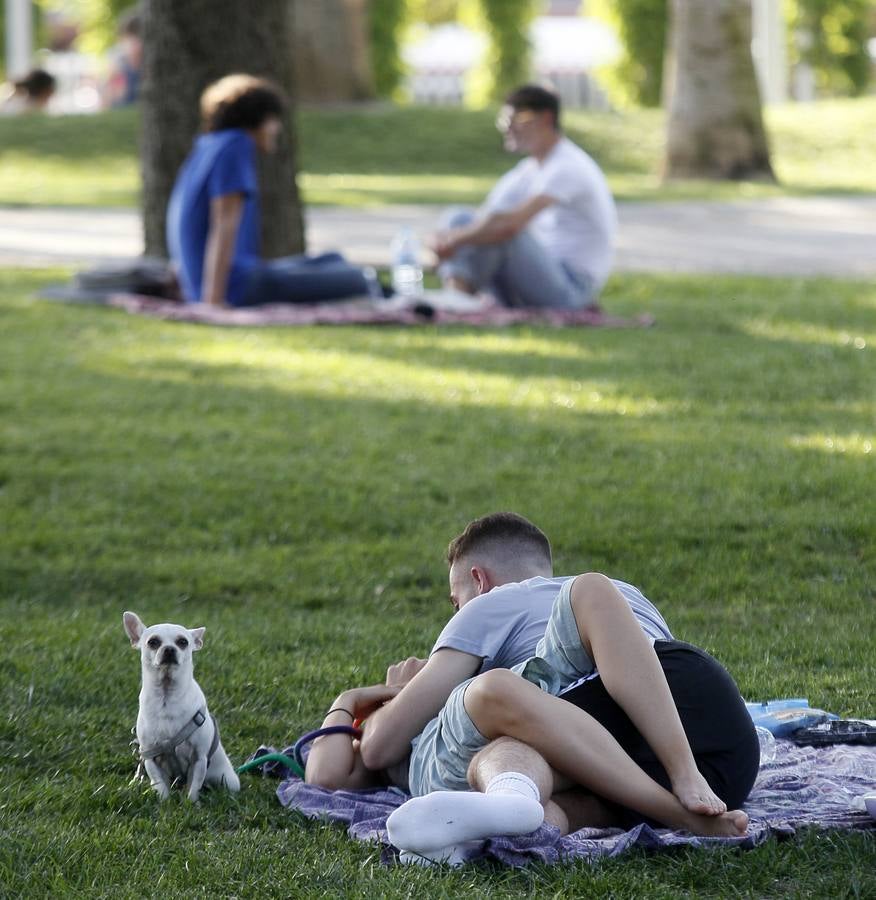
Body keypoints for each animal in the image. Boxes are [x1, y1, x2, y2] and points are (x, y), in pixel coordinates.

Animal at [123, 612, 240, 800]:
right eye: (153, 642)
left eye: (183, 642)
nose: (170, 649)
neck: (167, 697)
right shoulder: (149, 758)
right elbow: (160, 785)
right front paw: (164, 801)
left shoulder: (199, 758)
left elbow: (194, 787)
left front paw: (191, 803)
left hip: (228, 780)